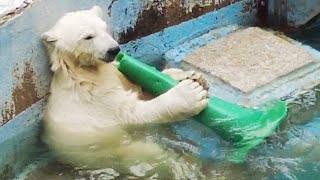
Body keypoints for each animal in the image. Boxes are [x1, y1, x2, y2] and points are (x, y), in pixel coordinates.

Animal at [41, 6, 209, 175]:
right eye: (88, 37)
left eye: (104, 28)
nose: (114, 50)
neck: (83, 72)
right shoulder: (94, 99)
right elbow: (131, 112)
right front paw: (190, 93)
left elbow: (141, 89)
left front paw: (192, 76)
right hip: (119, 150)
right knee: (153, 153)